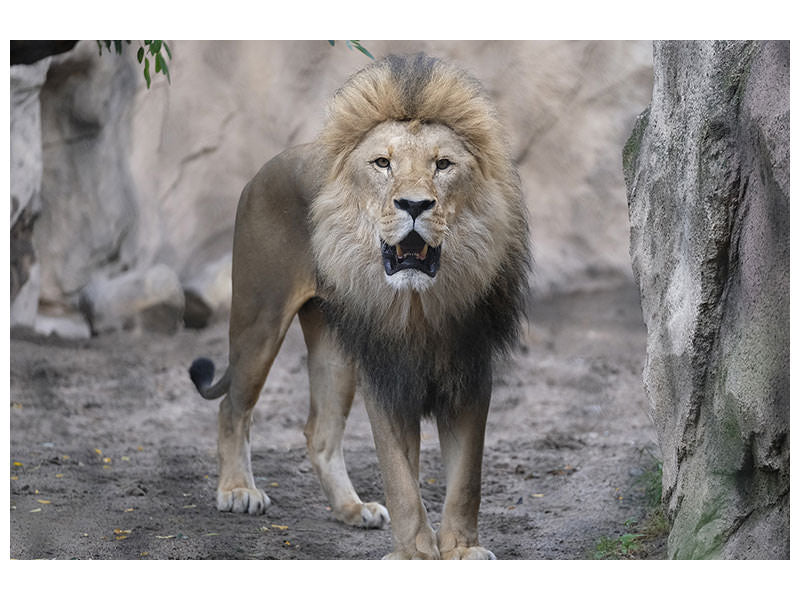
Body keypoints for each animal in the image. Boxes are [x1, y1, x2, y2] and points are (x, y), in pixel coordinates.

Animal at [189, 53, 530, 559]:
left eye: (443, 164)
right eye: (382, 163)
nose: (414, 204)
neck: (418, 307)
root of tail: (262, 169)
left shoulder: (469, 373)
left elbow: (466, 480)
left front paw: (461, 549)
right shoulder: (386, 378)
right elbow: (401, 478)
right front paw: (415, 553)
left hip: (334, 347)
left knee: (320, 433)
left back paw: (351, 508)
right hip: (259, 319)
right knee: (233, 407)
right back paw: (237, 490)